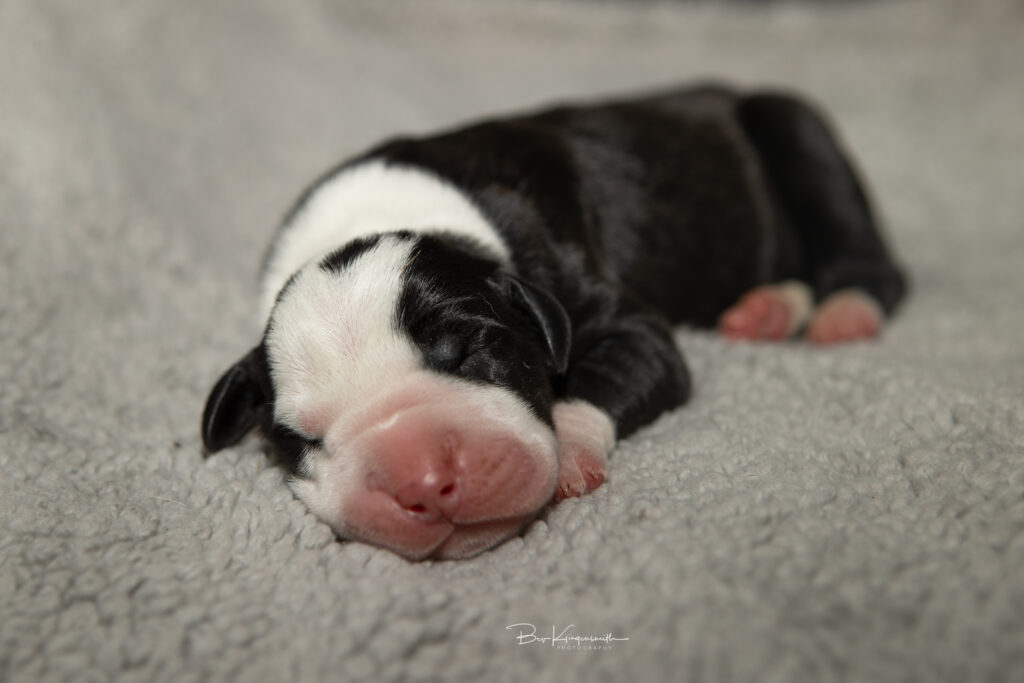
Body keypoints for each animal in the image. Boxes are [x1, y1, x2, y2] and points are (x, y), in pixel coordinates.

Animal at [199, 82, 905, 561]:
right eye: (302, 439)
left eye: (469, 350)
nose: (426, 483)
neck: (374, 219)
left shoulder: (610, 313)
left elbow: (606, 373)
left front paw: (570, 456)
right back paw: (768, 309)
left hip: (794, 128)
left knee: (864, 251)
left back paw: (844, 310)